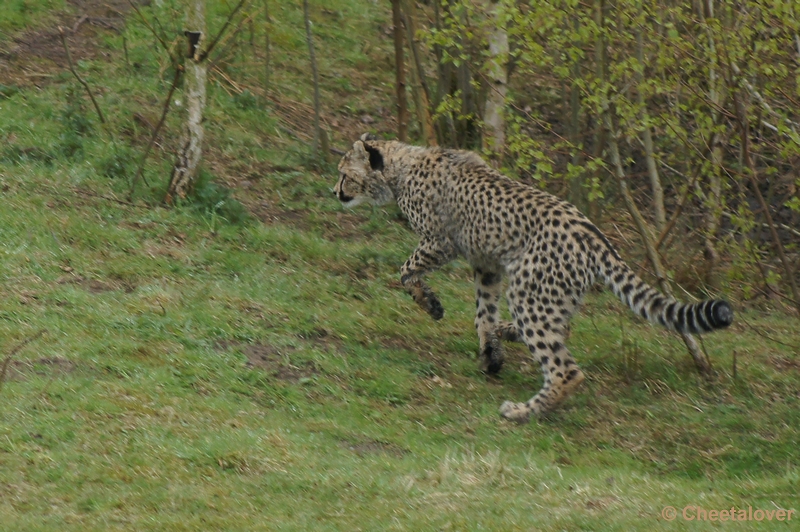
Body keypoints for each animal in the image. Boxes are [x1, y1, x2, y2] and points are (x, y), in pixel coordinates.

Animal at [334, 135, 736, 422]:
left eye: (345, 174)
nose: (334, 192)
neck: (402, 166)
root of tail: (594, 234)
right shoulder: (488, 263)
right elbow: (483, 313)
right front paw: (491, 353)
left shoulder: (440, 242)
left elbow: (406, 271)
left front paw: (432, 305)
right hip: (549, 293)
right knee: (560, 331)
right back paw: (509, 336)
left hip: (529, 292)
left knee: (565, 369)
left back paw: (522, 412)